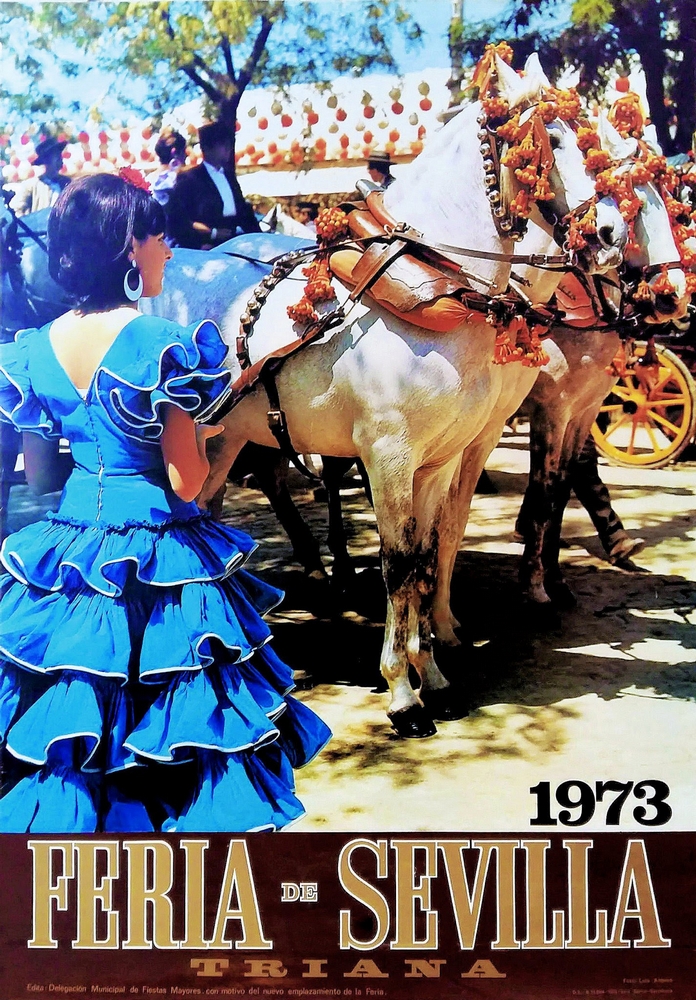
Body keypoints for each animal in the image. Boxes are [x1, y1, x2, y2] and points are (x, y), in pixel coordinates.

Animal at [145, 54, 624, 736]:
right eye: (551, 142)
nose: (610, 232)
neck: (432, 288)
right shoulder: (389, 456)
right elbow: (397, 564)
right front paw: (402, 693)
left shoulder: (438, 459)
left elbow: (425, 555)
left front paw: (436, 677)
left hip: (221, 441)